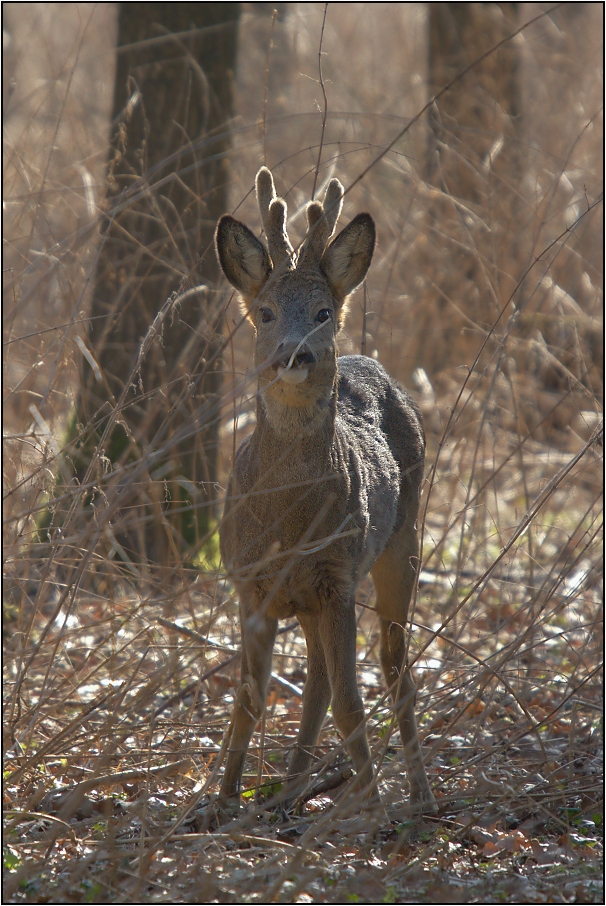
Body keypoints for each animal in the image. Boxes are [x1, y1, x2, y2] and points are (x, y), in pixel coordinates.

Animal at [216, 168, 434, 812]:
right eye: (264, 313)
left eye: (321, 311)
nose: (296, 352)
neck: (288, 523)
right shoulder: (249, 581)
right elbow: (249, 698)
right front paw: (218, 804)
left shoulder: (337, 574)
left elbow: (350, 701)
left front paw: (373, 806)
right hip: (311, 594)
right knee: (315, 675)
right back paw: (289, 791)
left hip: (399, 543)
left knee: (394, 667)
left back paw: (418, 794)